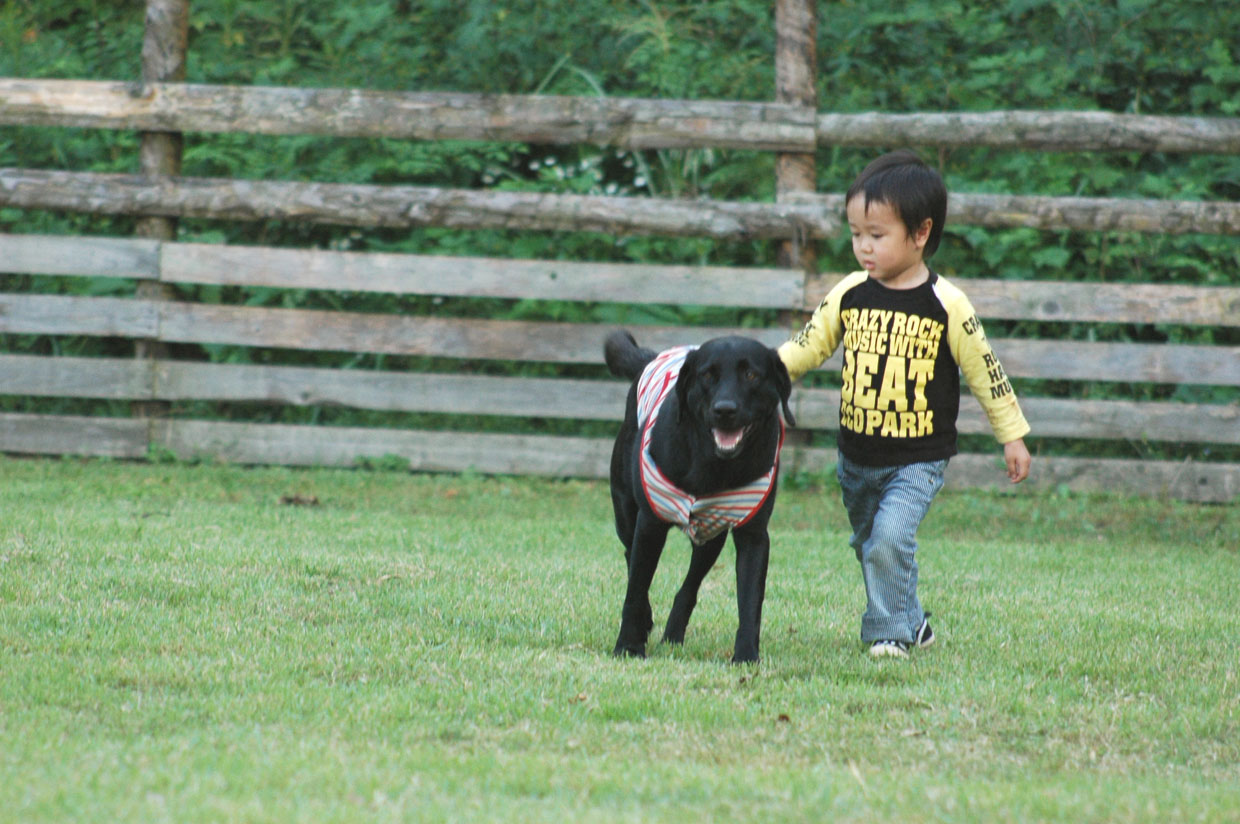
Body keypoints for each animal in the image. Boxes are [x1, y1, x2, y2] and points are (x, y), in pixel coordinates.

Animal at [607, 327, 798, 664]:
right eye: (707, 375)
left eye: (751, 374)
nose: (725, 410)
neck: (713, 466)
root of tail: (653, 356)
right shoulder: (650, 524)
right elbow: (636, 588)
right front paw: (628, 646)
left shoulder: (753, 535)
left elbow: (750, 601)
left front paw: (746, 655)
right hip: (626, 514)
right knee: (631, 560)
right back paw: (645, 622)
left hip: (711, 537)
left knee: (689, 586)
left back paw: (673, 636)